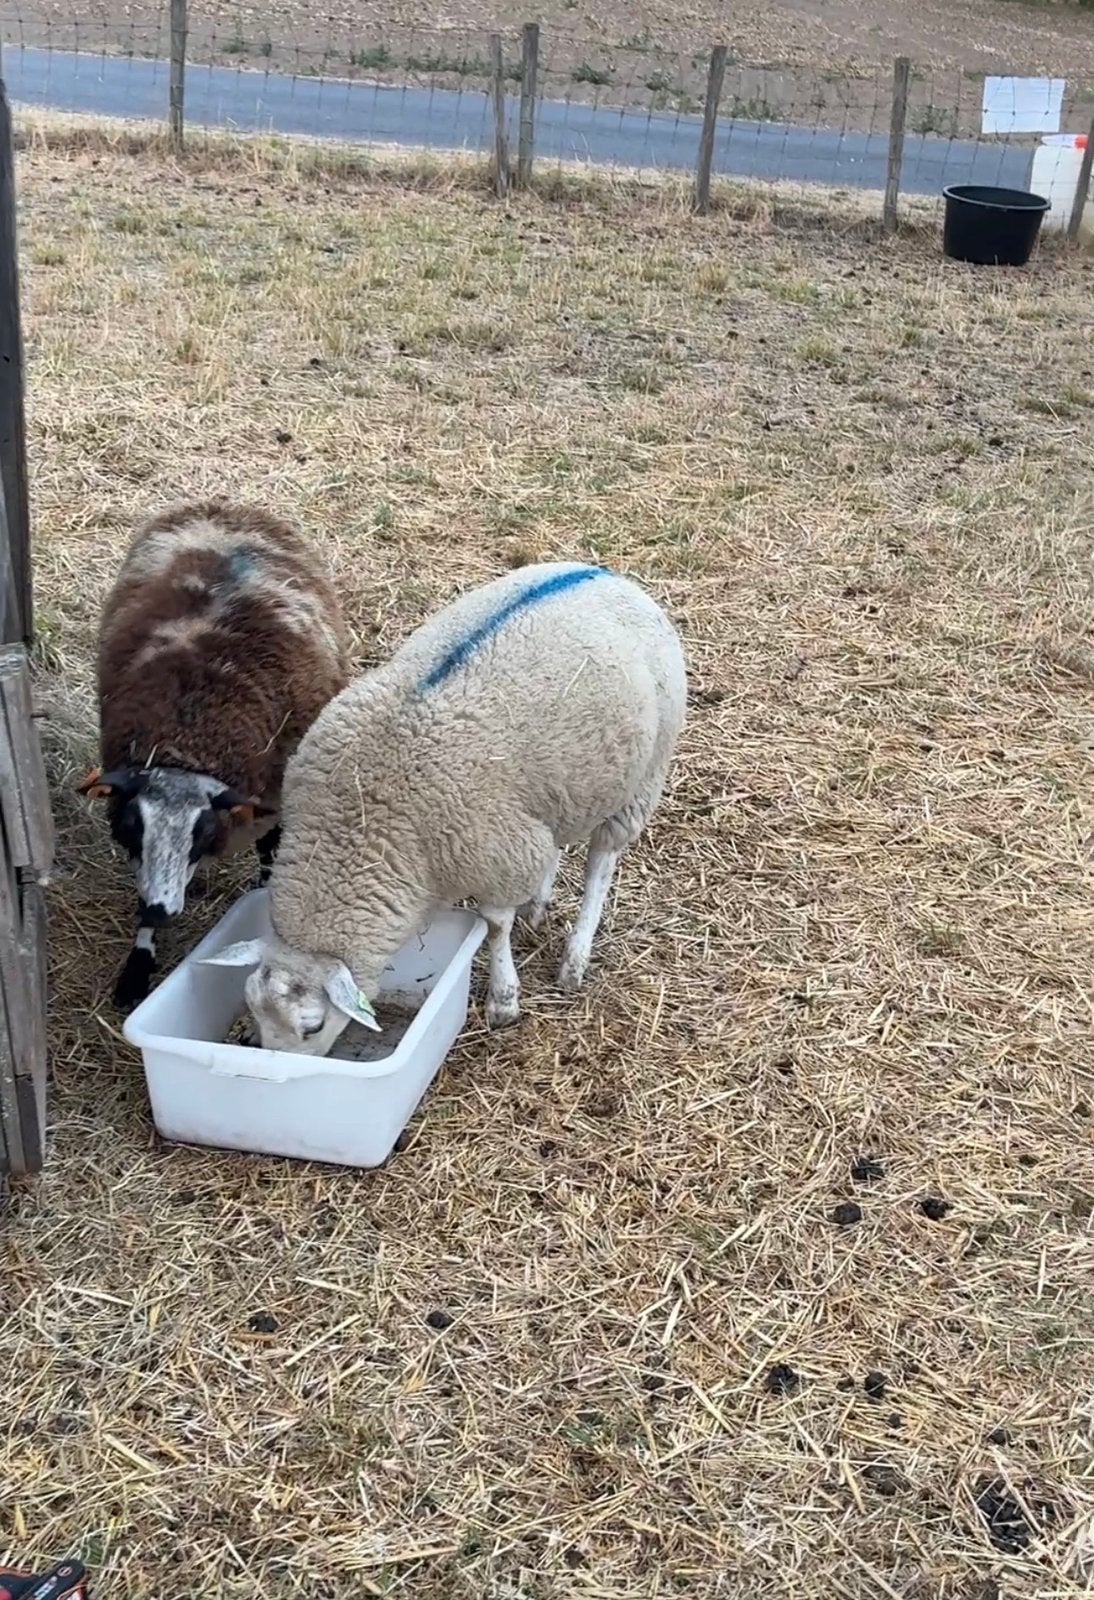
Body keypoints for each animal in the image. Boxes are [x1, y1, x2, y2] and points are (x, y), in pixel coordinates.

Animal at [79, 498, 351, 1010]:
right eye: (134, 826)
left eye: (202, 831)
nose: (160, 909)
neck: (188, 736)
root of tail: (226, 506)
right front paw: (137, 967)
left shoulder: (270, 801)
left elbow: (269, 854)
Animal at [202, 560, 686, 1055]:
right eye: (252, 1006)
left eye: (313, 1026)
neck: (362, 818)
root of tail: (603, 574)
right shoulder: (514, 840)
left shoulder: (496, 855)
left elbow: (494, 926)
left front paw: (503, 1000)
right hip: (567, 788)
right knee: (554, 844)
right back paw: (538, 904)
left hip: (643, 779)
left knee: (600, 867)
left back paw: (575, 958)